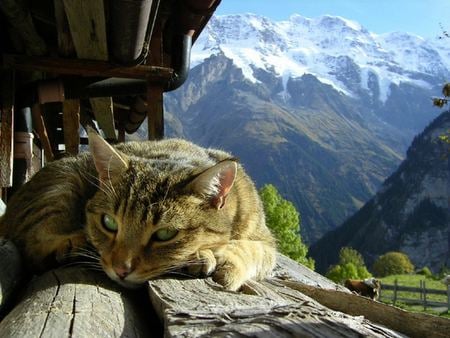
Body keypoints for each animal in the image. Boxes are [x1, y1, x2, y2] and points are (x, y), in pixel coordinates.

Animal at [0, 129, 276, 290]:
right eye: (109, 222)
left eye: (164, 234)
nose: (121, 269)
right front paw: (205, 255)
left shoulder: (265, 239)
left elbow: (250, 249)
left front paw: (224, 261)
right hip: (63, 182)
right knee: (32, 243)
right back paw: (73, 245)